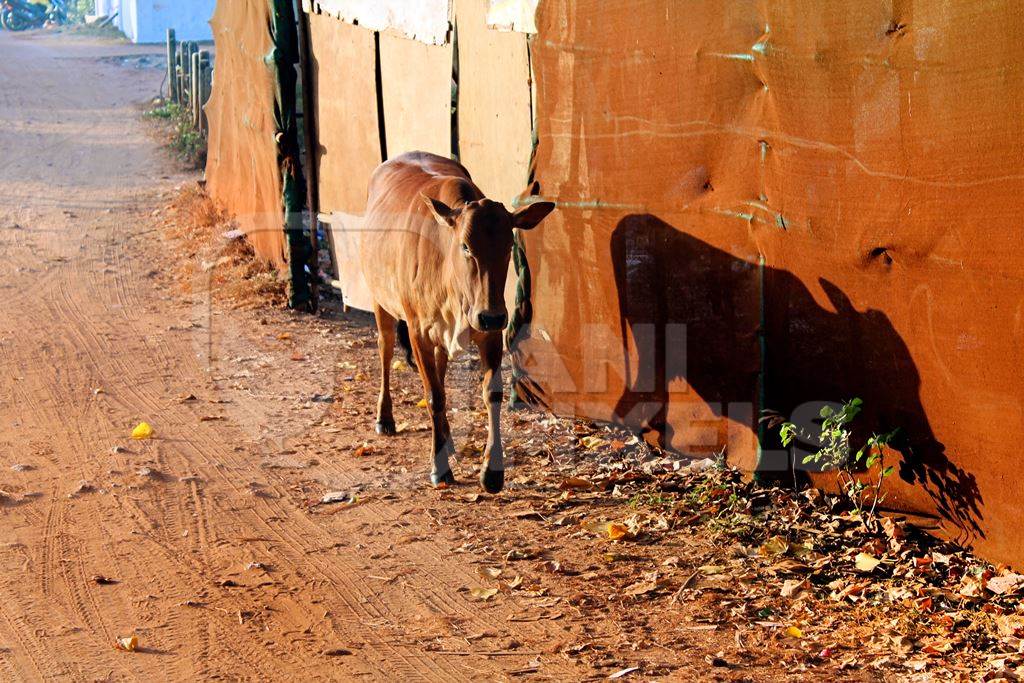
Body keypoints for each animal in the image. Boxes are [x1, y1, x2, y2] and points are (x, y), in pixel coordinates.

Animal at [360, 150, 552, 491]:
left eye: (508, 245)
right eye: (465, 246)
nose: (490, 314)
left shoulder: (490, 331)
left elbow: (491, 393)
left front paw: (492, 471)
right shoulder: (418, 332)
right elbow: (434, 396)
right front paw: (439, 468)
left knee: (439, 367)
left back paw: (447, 439)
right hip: (381, 301)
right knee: (385, 350)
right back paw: (385, 418)